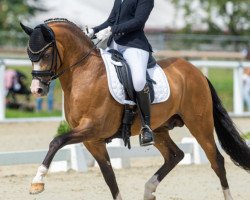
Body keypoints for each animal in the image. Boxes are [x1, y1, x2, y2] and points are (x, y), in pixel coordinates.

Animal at [21, 19, 250, 200]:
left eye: (46, 53)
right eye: (29, 54)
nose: (37, 89)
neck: (85, 73)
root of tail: (197, 72)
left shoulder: (93, 128)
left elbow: (56, 141)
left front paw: (37, 182)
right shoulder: (92, 140)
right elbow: (109, 177)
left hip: (199, 124)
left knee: (216, 160)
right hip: (159, 129)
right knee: (175, 155)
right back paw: (149, 190)